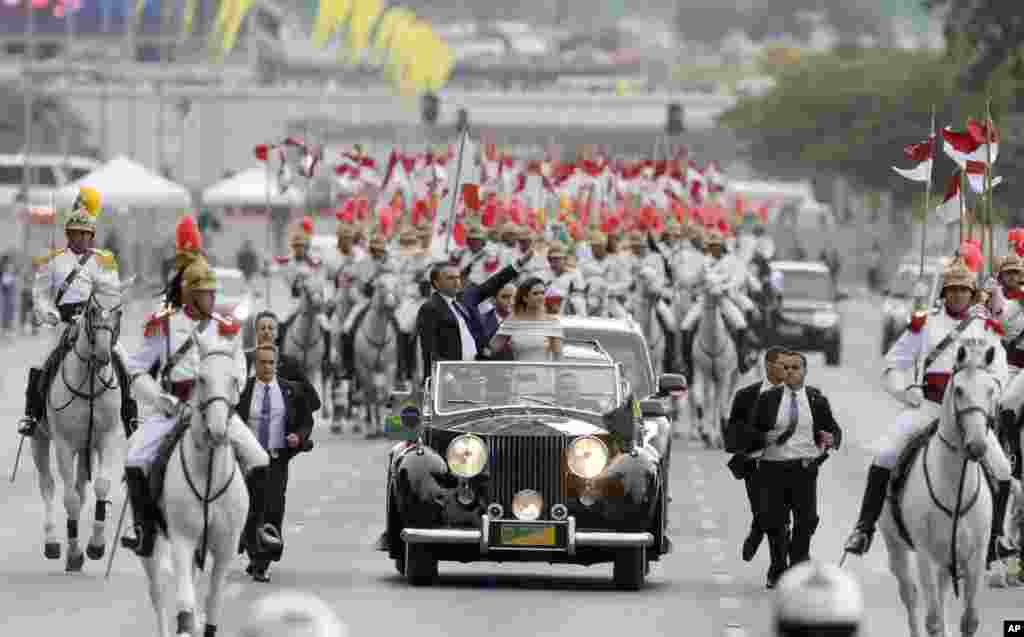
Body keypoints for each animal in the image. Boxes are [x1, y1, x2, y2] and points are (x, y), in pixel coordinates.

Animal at [33, 276, 128, 573]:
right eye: (92, 310)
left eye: (119, 311)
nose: (103, 355)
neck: (89, 380)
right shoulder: (64, 445)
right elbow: (70, 500)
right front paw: (74, 552)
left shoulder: (106, 439)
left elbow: (100, 487)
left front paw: (96, 545)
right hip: (40, 440)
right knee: (48, 485)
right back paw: (53, 542)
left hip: (85, 449)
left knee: (80, 488)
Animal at [139, 329, 246, 637]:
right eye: (202, 379)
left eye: (234, 379)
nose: (217, 432)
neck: (208, 473)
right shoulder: (182, 540)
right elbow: (184, 603)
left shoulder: (225, 547)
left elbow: (213, 604)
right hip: (153, 543)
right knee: (157, 592)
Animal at [688, 284, 737, 448]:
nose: (717, 293)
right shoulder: (700, 371)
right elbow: (700, 399)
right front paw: (705, 433)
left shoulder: (725, 374)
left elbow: (721, 404)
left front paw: (717, 435)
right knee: (712, 400)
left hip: (733, 375)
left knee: (725, 400)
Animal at [880, 344, 999, 637]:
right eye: (959, 390)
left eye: (991, 390)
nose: (977, 447)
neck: (955, 485)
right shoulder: (925, 555)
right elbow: (932, 619)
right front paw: (914, 395)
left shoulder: (975, 557)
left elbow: (969, 620)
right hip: (896, 546)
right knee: (910, 595)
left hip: (948, 558)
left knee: (941, 594)